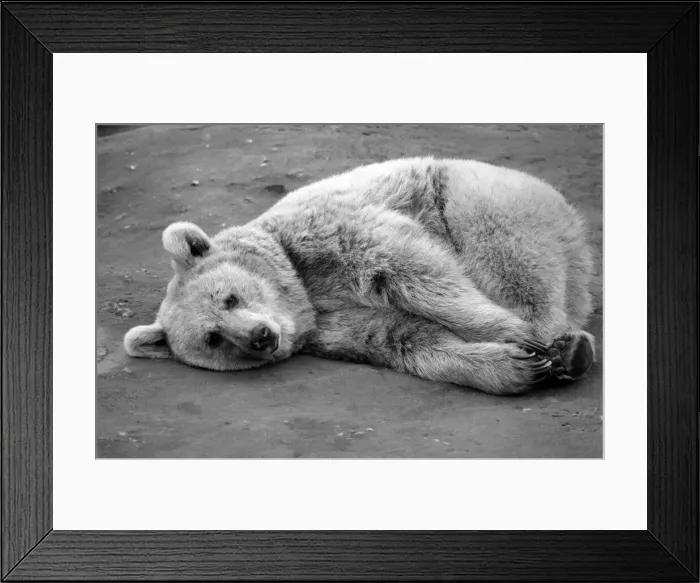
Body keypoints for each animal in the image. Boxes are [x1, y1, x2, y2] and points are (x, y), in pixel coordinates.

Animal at [124, 157, 596, 395]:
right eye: (213, 338)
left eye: (230, 297)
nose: (260, 336)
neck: (302, 290)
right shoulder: (327, 326)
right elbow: (398, 336)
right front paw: (515, 365)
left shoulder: (328, 234)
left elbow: (412, 268)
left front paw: (525, 339)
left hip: (479, 197)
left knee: (510, 257)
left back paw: (563, 341)